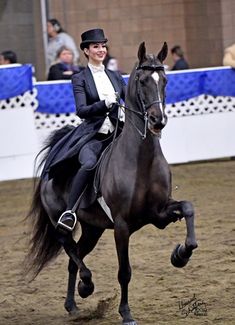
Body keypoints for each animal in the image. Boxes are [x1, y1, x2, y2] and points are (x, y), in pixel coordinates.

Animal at [26, 42, 197, 324]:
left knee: (74, 258)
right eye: (141, 80)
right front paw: (126, 313)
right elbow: (124, 271)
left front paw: (180, 255)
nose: (158, 121)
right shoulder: (122, 226)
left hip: (93, 229)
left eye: (165, 80)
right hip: (60, 221)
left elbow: (188, 208)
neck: (141, 161)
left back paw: (73, 305)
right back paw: (86, 286)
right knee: (69, 248)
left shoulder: (159, 213)